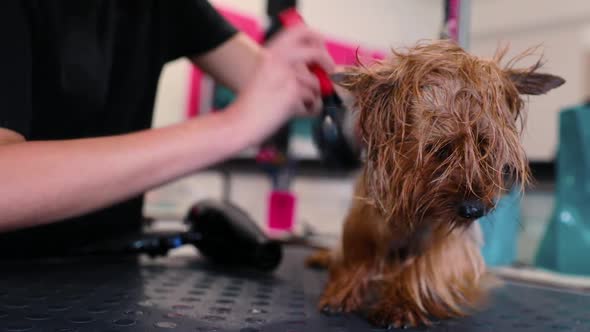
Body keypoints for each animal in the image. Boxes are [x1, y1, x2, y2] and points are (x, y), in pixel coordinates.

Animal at [308, 40, 568, 328]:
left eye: (485, 148)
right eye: (439, 149)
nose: (474, 210)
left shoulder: (452, 241)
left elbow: (426, 265)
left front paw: (400, 302)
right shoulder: (364, 218)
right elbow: (360, 253)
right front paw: (344, 288)